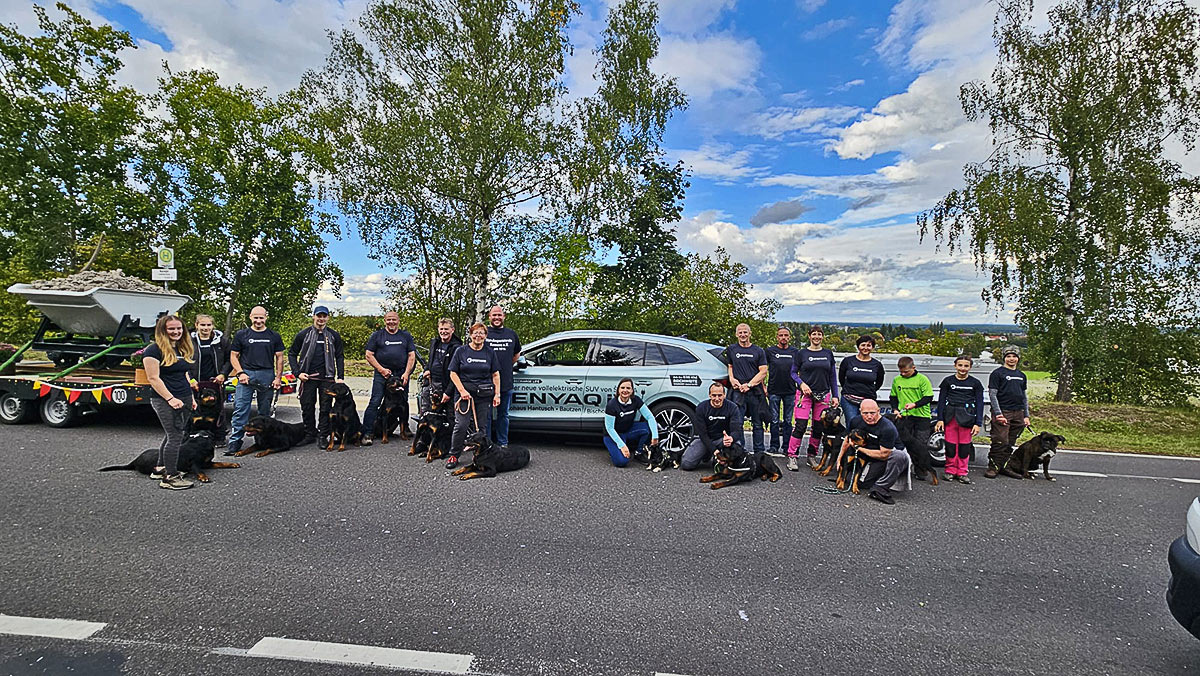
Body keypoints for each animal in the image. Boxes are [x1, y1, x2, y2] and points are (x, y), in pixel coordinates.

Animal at [100, 431, 239, 482]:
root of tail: (135, 460)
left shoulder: (207, 463)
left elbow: (222, 463)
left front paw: (232, 464)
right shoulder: (195, 464)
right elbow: (200, 471)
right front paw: (204, 477)